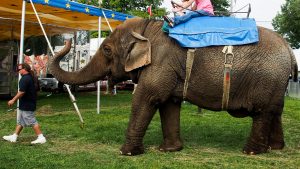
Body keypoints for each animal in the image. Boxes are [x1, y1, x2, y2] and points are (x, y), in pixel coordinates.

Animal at [49, 17, 298, 156]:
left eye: (107, 50)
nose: (68, 40)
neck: (147, 28)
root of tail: (288, 48)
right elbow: (169, 104)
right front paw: (169, 150)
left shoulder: (161, 63)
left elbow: (146, 98)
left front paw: (126, 153)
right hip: (275, 83)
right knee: (275, 110)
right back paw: (275, 148)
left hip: (265, 78)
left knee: (262, 112)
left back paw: (251, 152)